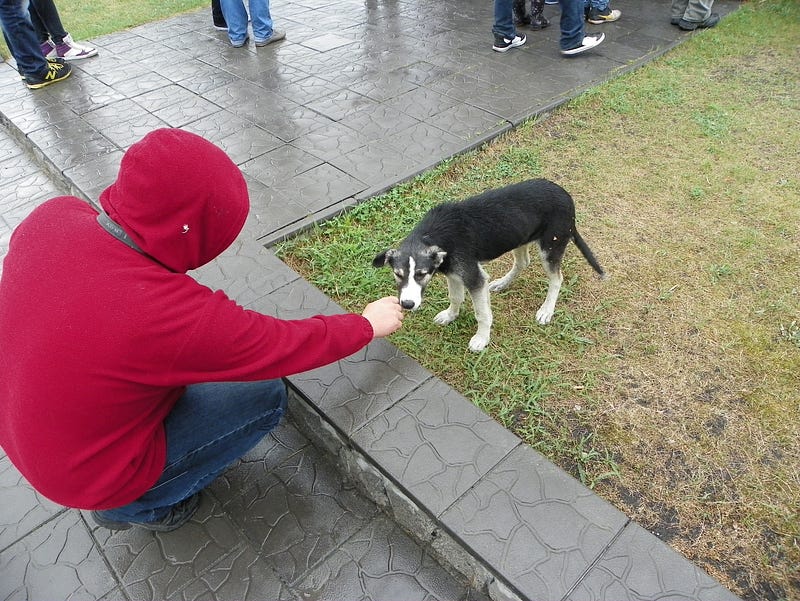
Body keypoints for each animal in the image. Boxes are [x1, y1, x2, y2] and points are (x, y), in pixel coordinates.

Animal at [372, 180, 604, 354]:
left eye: (421, 274)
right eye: (397, 274)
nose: (407, 304)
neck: (431, 234)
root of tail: (566, 195)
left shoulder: (474, 278)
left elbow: (482, 313)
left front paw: (481, 339)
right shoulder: (454, 273)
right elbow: (455, 297)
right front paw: (450, 315)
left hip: (551, 246)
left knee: (557, 279)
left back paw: (546, 310)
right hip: (520, 238)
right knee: (523, 262)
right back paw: (502, 283)